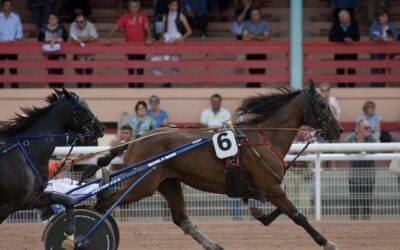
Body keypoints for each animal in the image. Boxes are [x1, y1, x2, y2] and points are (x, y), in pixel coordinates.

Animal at [0, 88, 104, 223]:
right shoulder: (6, 206)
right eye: (83, 108)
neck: (26, 151)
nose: (101, 128)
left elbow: (67, 200)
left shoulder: (30, 200)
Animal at [94, 81, 344, 249]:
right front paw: (326, 242)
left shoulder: (265, 189)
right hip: (141, 184)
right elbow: (298, 216)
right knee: (103, 204)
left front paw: (259, 211)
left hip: (168, 183)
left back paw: (213, 244)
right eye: (322, 104)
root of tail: (134, 140)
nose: (339, 129)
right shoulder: (272, 188)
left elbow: (269, 213)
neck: (264, 137)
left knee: (181, 220)